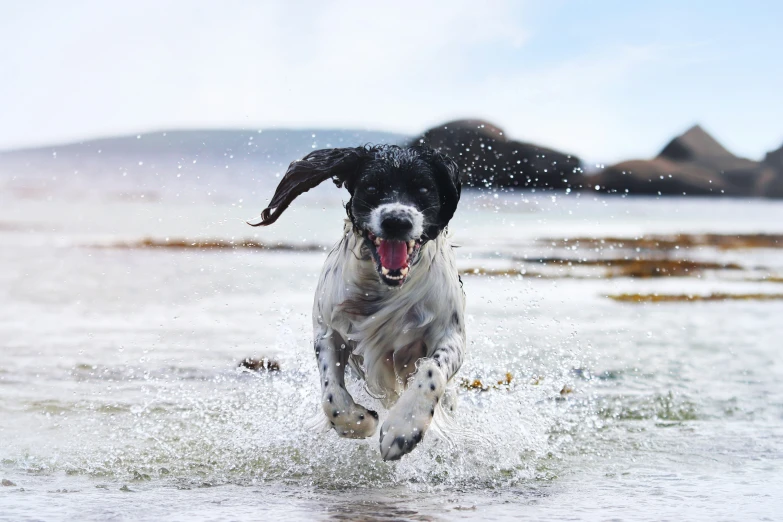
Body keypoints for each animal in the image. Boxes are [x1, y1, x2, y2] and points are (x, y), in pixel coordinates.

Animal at [250, 144, 466, 458]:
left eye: (424, 188)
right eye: (372, 186)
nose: (396, 221)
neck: (385, 288)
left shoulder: (450, 333)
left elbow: (431, 369)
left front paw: (403, 429)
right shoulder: (328, 329)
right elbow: (331, 395)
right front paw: (358, 422)